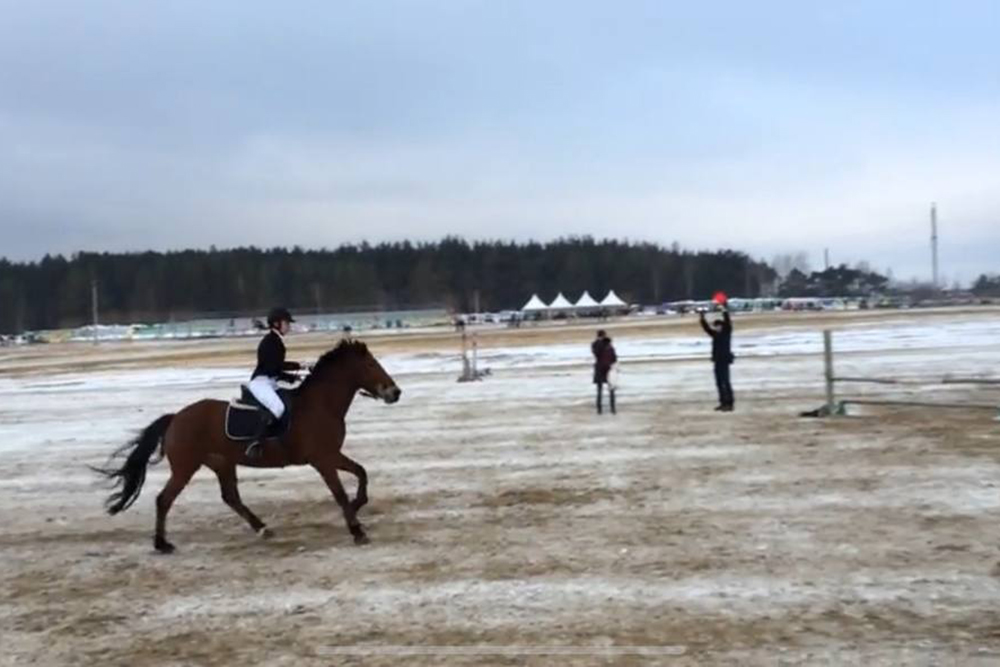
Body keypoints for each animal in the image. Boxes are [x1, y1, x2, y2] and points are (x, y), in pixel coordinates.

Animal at [94, 340, 402, 552]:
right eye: (371, 365)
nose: (395, 392)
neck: (321, 405)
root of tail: (176, 417)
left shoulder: (332, 455)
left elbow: (361, 472)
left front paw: (358, 505)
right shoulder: (323, 459)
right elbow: (339, 492)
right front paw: (357, 530)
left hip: (222, 463)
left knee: (231, 497)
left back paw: (262, 528)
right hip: (185, 467)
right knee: (164, 499)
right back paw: (162, 544)